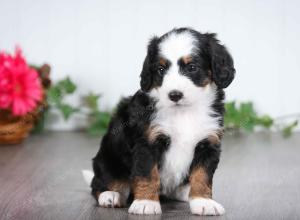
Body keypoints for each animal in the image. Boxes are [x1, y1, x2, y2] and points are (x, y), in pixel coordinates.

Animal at [82, 27, 234, 215]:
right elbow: (147, 174)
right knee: (99, 183)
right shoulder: (147, 142)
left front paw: (203, 201)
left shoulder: (208, 143)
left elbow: (202, 175)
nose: (174, 95)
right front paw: (146, 202)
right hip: (107, 160)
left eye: (192, 67)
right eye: (161, 69)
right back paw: (110, 195)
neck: (184, 112)